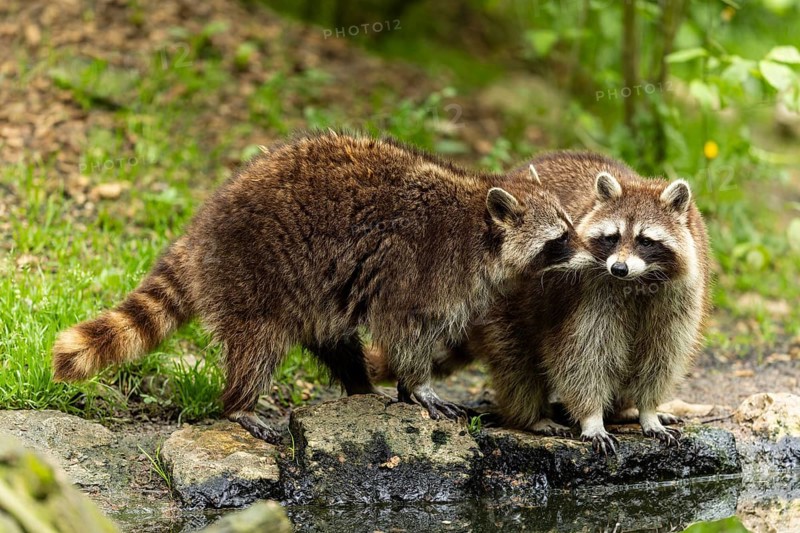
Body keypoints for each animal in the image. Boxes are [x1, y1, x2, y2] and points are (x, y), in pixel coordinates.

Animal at [52, 132, 581, 443]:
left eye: (571, 225)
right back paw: (239, 403)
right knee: (258, 343)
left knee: (336, 342)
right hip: (253, 273)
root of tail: (199, 232)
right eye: (559, 240)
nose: (594, 254)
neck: (482, 227)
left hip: (313, 295)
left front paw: (406, 390)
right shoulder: (424, 267)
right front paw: (419, 384)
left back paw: (359, 387)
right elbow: (406, 330)